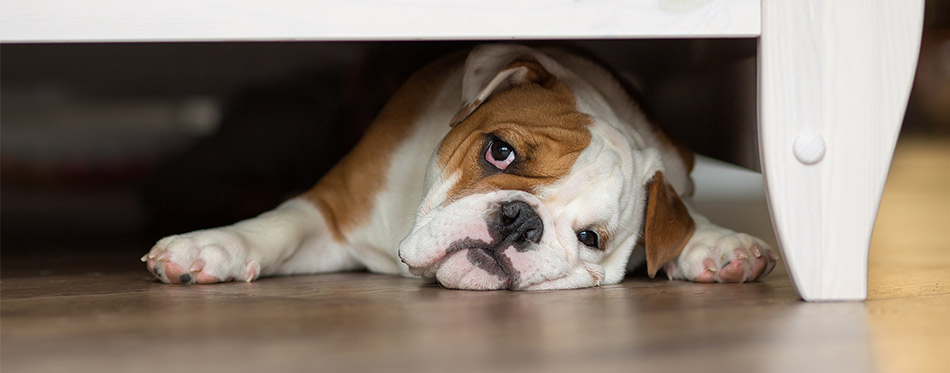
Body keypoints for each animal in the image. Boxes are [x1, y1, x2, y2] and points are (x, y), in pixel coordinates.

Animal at [143, 42, 780, 288]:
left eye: (591, 238)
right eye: (499, 150)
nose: (520, 221)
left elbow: (681, 213)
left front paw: (713, 242)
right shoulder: (333, 211)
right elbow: (277, 226)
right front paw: (209, 246)